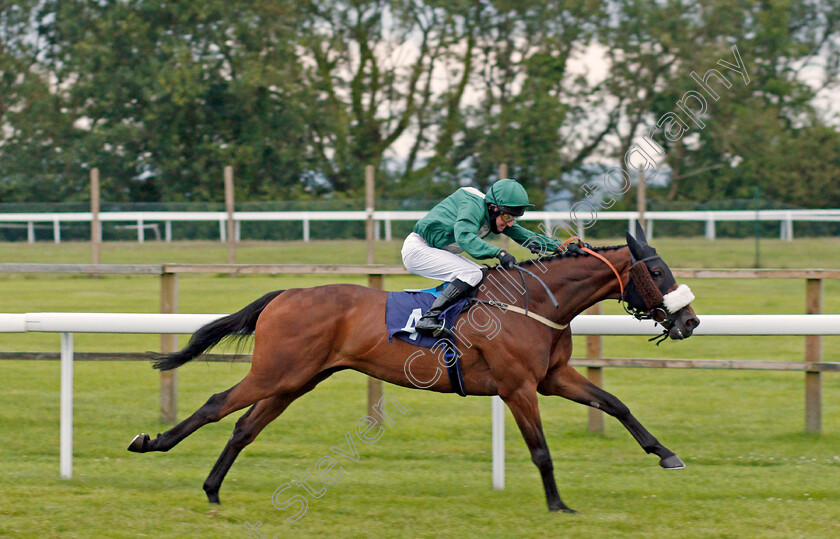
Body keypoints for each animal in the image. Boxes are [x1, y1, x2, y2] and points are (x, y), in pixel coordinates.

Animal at [128, 225, 700, 516]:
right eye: (657, 270)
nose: (690, 320)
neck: (534, 302)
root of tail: (285, 294)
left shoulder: (552, 377)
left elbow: (615, 404)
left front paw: (666, 454)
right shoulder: (518, 386)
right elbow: (540, 449)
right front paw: (558, 505)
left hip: (298, 380)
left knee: (245, 427)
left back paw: (212, 488)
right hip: (275, 372)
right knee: (216, 406)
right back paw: (151, 443)